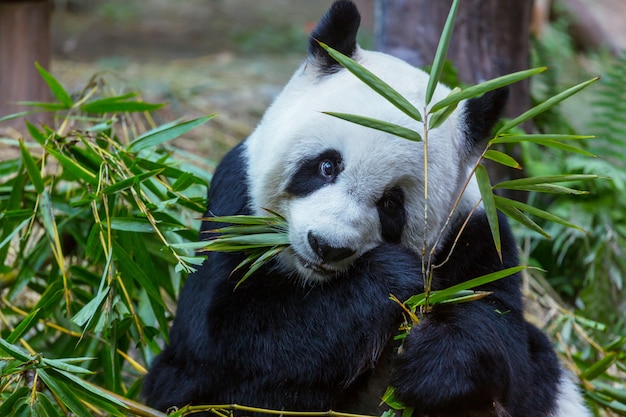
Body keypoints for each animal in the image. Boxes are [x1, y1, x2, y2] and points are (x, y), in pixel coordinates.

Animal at [143, 2, 588, 416]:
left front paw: (436, 360)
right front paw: (390, 278)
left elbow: (507, 343)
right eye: (326, 166)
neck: (317, 284)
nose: (326, 246)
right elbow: (222, 337)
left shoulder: (476, 232)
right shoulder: (234, 205)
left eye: (391, 203)